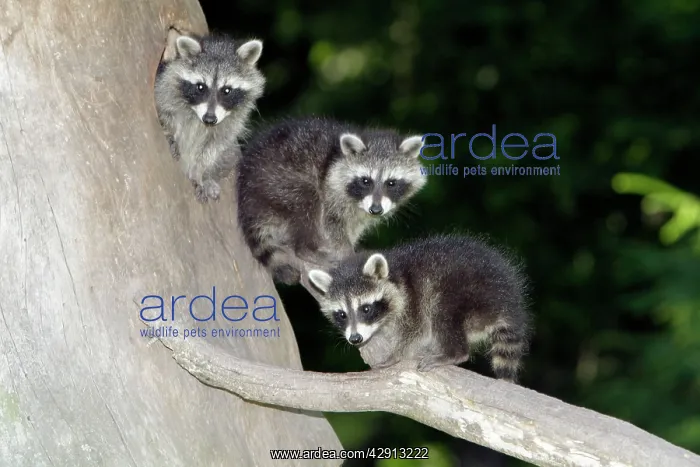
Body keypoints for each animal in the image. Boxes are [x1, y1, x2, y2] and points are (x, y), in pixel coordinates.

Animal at [154, 29, 265, 203]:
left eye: (226, 90)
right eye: (201, 87)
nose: (209, 119)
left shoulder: (231, 122)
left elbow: (213, 147)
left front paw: (199, 174)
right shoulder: (166, 87)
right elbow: (165, 113)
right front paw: (168, 132)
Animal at [236, 116, 428, 285]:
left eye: (391, 183)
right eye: (366, 181)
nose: (376, 210)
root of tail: (247, 196)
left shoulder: (361, 214)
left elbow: (353, 228)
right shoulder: (330, 190)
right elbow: (333, 225)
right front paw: (347, 254)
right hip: (280, 182)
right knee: (307, 200)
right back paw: (306, 249)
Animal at [306, 234, 531, 383]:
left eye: (366, 309)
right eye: (342, 315)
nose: (355, 338)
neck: (395, 275)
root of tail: (507, 302)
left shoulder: (414, 301)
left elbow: (415, 330)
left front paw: (396, 354)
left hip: (465, 292)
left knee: (441, 312)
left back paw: (454, 352)